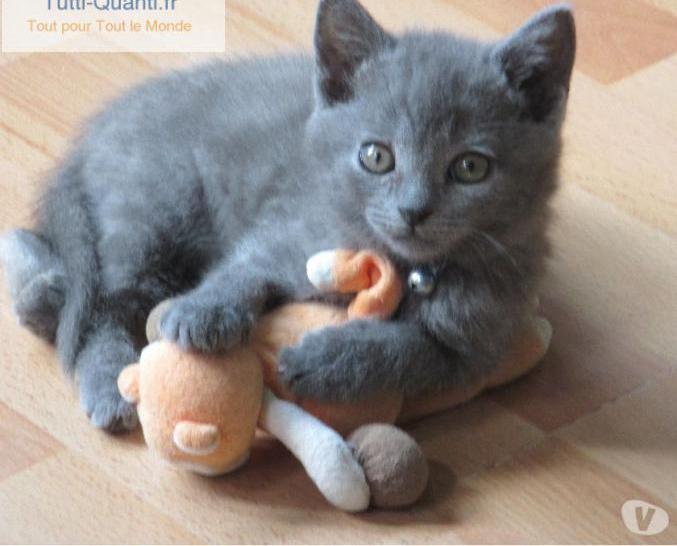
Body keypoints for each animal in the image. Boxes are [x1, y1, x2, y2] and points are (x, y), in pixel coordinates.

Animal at [0, 0, 576, 432]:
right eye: (377, 156)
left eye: (471, 167)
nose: (414, 210)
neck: (402, 266)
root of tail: (92, 135)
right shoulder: (288, 228)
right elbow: (244, 268)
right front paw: (202, 313)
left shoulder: (474, 346)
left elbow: (408, 352)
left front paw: (322, 361)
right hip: (157, 206)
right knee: (108, 300)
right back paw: (107, 379)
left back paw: (44, 297)